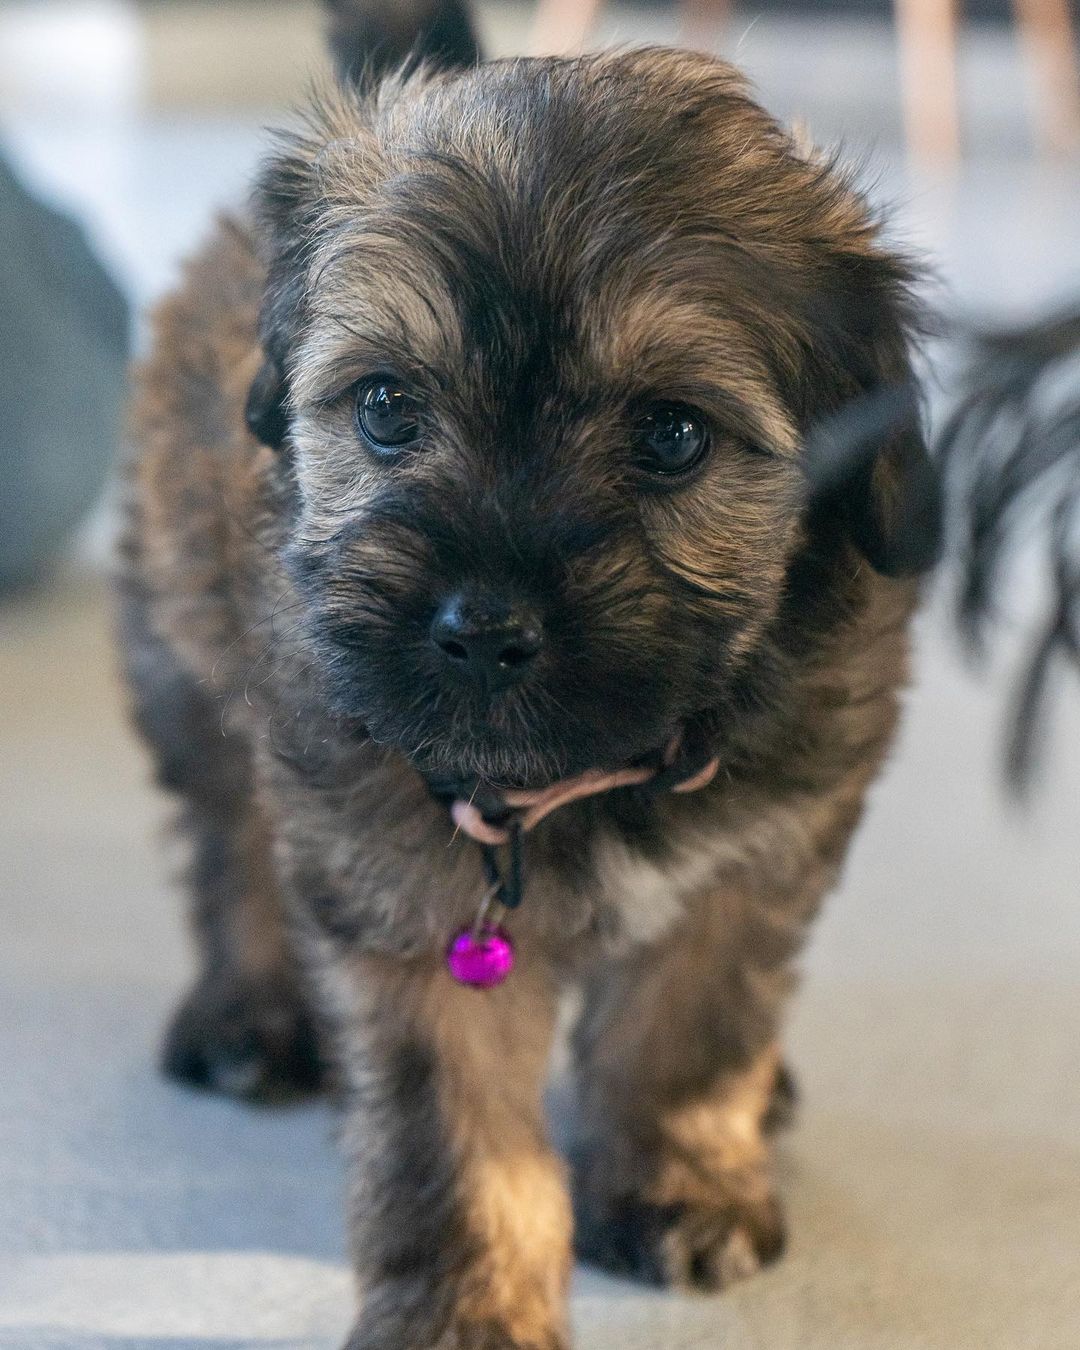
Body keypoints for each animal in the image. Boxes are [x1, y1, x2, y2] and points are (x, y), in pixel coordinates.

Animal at [120, 5, 934, 1344]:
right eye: (386, 406)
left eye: (672, 434)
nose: (482, 626)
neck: (585, 771)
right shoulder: (407, 896)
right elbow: (454, 1136)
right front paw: (468, 1304)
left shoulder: (757, 854)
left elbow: (691, 1029)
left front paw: (675, 1183)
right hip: (188, 650)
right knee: (230, 837)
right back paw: (248, 1012)